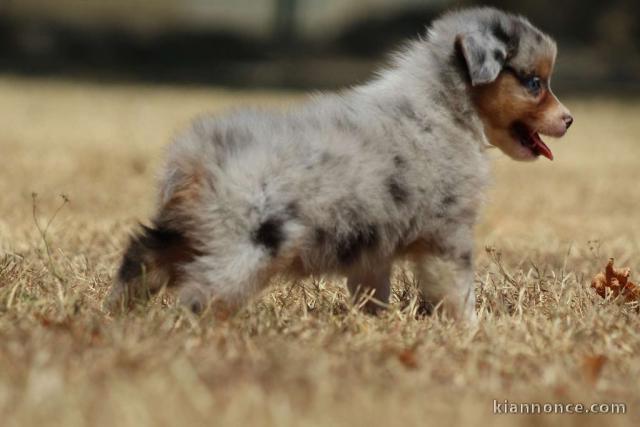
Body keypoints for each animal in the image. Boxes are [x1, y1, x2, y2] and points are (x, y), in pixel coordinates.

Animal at [107, 7, 572, 320]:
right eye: (535, 83)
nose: (569, 119)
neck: (444, 106)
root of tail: (194, 156)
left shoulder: (373, 245)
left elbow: (372, 292)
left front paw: (375, 322)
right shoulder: (448, 233)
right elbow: (457, 291)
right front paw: (470, 329)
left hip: (186, 228)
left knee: (141, 255)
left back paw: (120, 312)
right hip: (249, 243)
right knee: (200, 290)